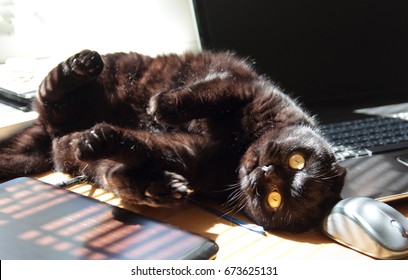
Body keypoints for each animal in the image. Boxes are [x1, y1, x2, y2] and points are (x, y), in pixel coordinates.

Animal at [0, 49, 346, 232]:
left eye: (275, 200)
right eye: (296, 160)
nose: (267, 171)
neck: (238, 148)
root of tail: (49, 133)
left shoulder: (188, 153)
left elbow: (139, 143)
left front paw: (99, 139)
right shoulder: (242, 87)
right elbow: (205, 94)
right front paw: (160, 107)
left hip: (86, 157)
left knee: (115, 173)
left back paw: (158, 187)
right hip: (103, 76)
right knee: (47, 91)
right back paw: (79, 66)